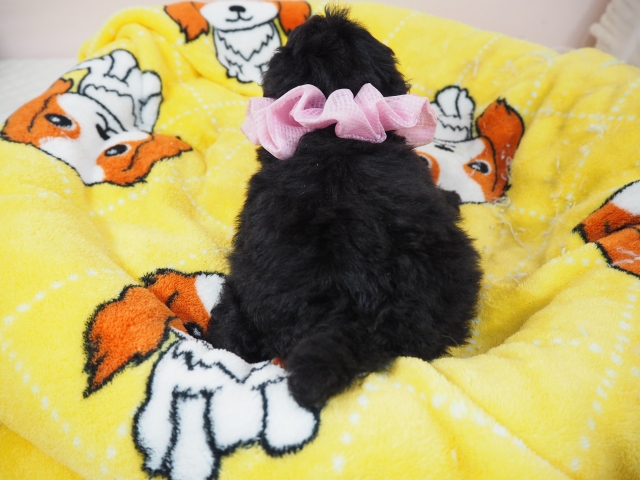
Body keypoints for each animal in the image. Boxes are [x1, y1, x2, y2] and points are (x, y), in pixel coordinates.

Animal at [205, 7, 482, 409]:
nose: (318, 17)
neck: (333, 125)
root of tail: (350, 315)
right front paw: (455, 198)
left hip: (243, 285)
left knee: (233, 327)